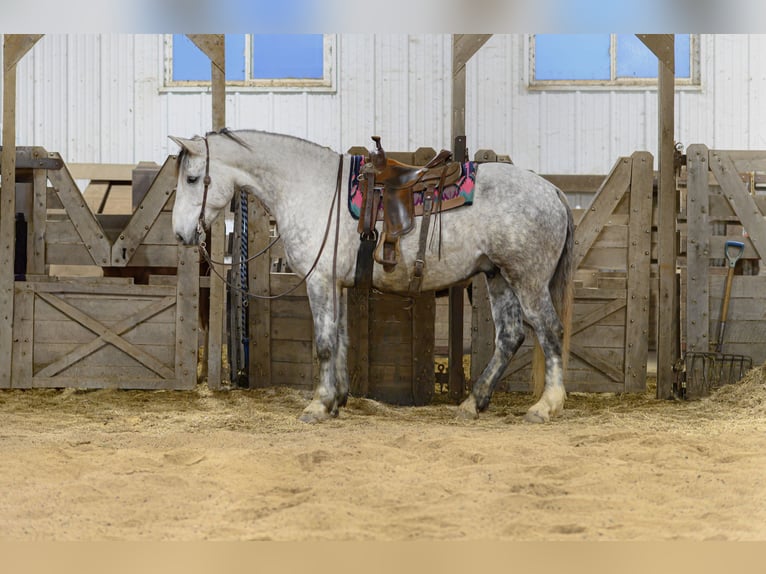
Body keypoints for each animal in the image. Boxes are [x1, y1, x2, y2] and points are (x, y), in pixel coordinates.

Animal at [170, 128, 574, 424]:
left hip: (527, 280)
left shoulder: (319, 281)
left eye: (192, 178)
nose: (181, 234)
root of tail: (553, 190)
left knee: (549, 330)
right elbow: (341, 339)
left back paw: (546, 406)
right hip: (498, 276)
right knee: (510, 336)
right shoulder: (337, 284)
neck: (311, 189)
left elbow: (324, 342)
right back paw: (472, 403)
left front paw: (318, 405)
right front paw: (337, 400)